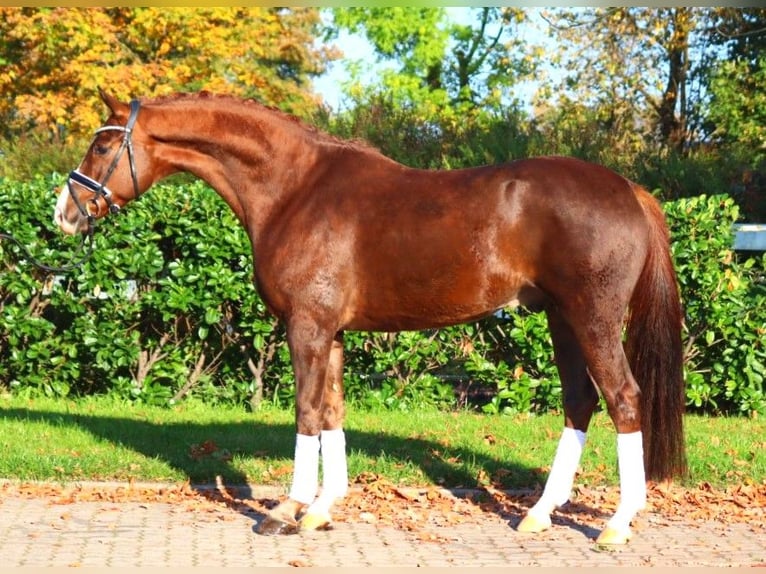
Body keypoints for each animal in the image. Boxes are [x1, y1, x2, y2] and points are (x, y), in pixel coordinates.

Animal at [57, 90, 688, 544]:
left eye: (100, 148)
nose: (65, 214)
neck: (294, 189)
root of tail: (631, 191)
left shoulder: (307, 327)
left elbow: (307, 412)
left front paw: (286, 509)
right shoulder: (330, 331)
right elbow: (332, 411)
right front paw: (321, 510)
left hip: (592, 318)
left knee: (623, 399)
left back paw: (616, 524)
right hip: (561, 318)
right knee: (580, 401)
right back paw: (538, 514)